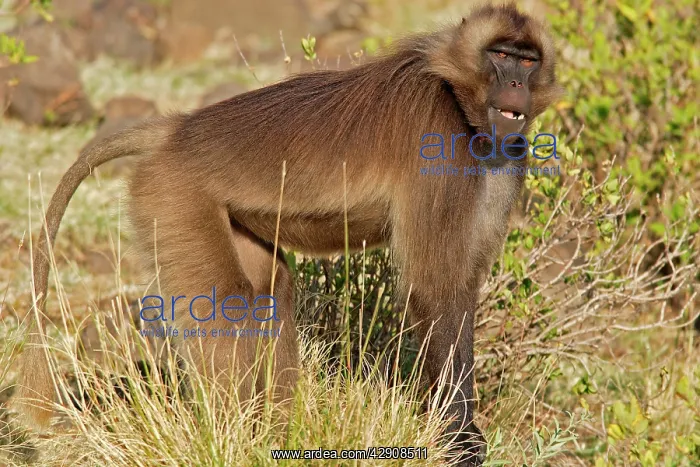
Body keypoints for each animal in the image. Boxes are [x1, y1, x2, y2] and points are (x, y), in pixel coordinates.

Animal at [13, 3, 561, 465]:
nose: (516, 82)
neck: (459, 99)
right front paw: (460, 439)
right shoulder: (438, 140)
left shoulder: (505, 155)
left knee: (270, 292)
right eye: (500, 55)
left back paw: (275, 435)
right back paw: (233, 440)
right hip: (174, 196)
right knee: (228, 303)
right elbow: (434, 290)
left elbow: (460, 288)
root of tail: (176, 130)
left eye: (528, 60)